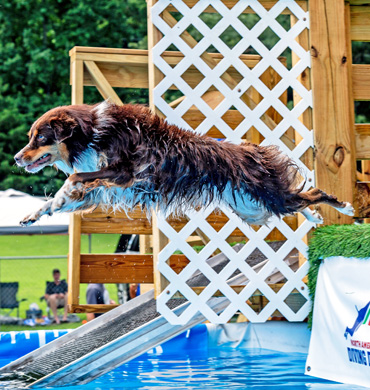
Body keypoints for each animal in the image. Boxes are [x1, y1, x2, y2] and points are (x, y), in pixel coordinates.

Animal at [14, 101, 354, 225]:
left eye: (39, 137)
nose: (17, 157)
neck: (94, 132)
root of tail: (251, 150)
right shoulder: (102, 188)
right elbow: (65, 195)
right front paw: (34, 214)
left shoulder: (123, 173)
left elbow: (74, 179)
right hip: (251, 207)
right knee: (298, 202)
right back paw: (315, 218)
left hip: (265, 196)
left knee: (311, 194)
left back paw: (346, 207)